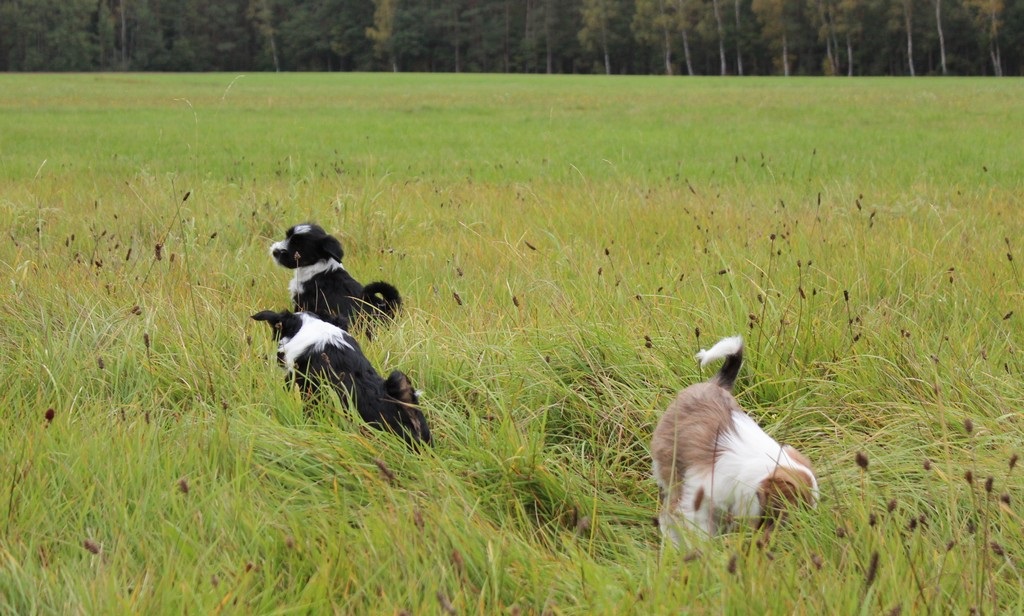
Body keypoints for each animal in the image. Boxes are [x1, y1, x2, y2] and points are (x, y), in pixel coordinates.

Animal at [269, 223, 402, 333]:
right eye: (287, 236)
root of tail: (388, 309)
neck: (317, 266)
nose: (274, 252)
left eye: (298, 246)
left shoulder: (303, 302)